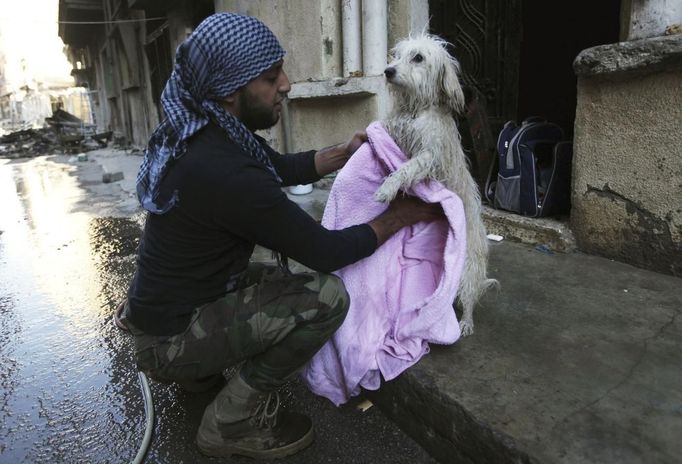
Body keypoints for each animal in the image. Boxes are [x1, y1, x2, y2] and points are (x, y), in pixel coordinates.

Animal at [378, 33, 494, 338]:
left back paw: (465, 322)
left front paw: (387, 188)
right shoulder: (395, 131)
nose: (388, 71)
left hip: (467, 268)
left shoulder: (429, 155)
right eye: (396, 55)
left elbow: (407, 168)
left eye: (418, 57)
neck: (414, 109)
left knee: (468, 298)